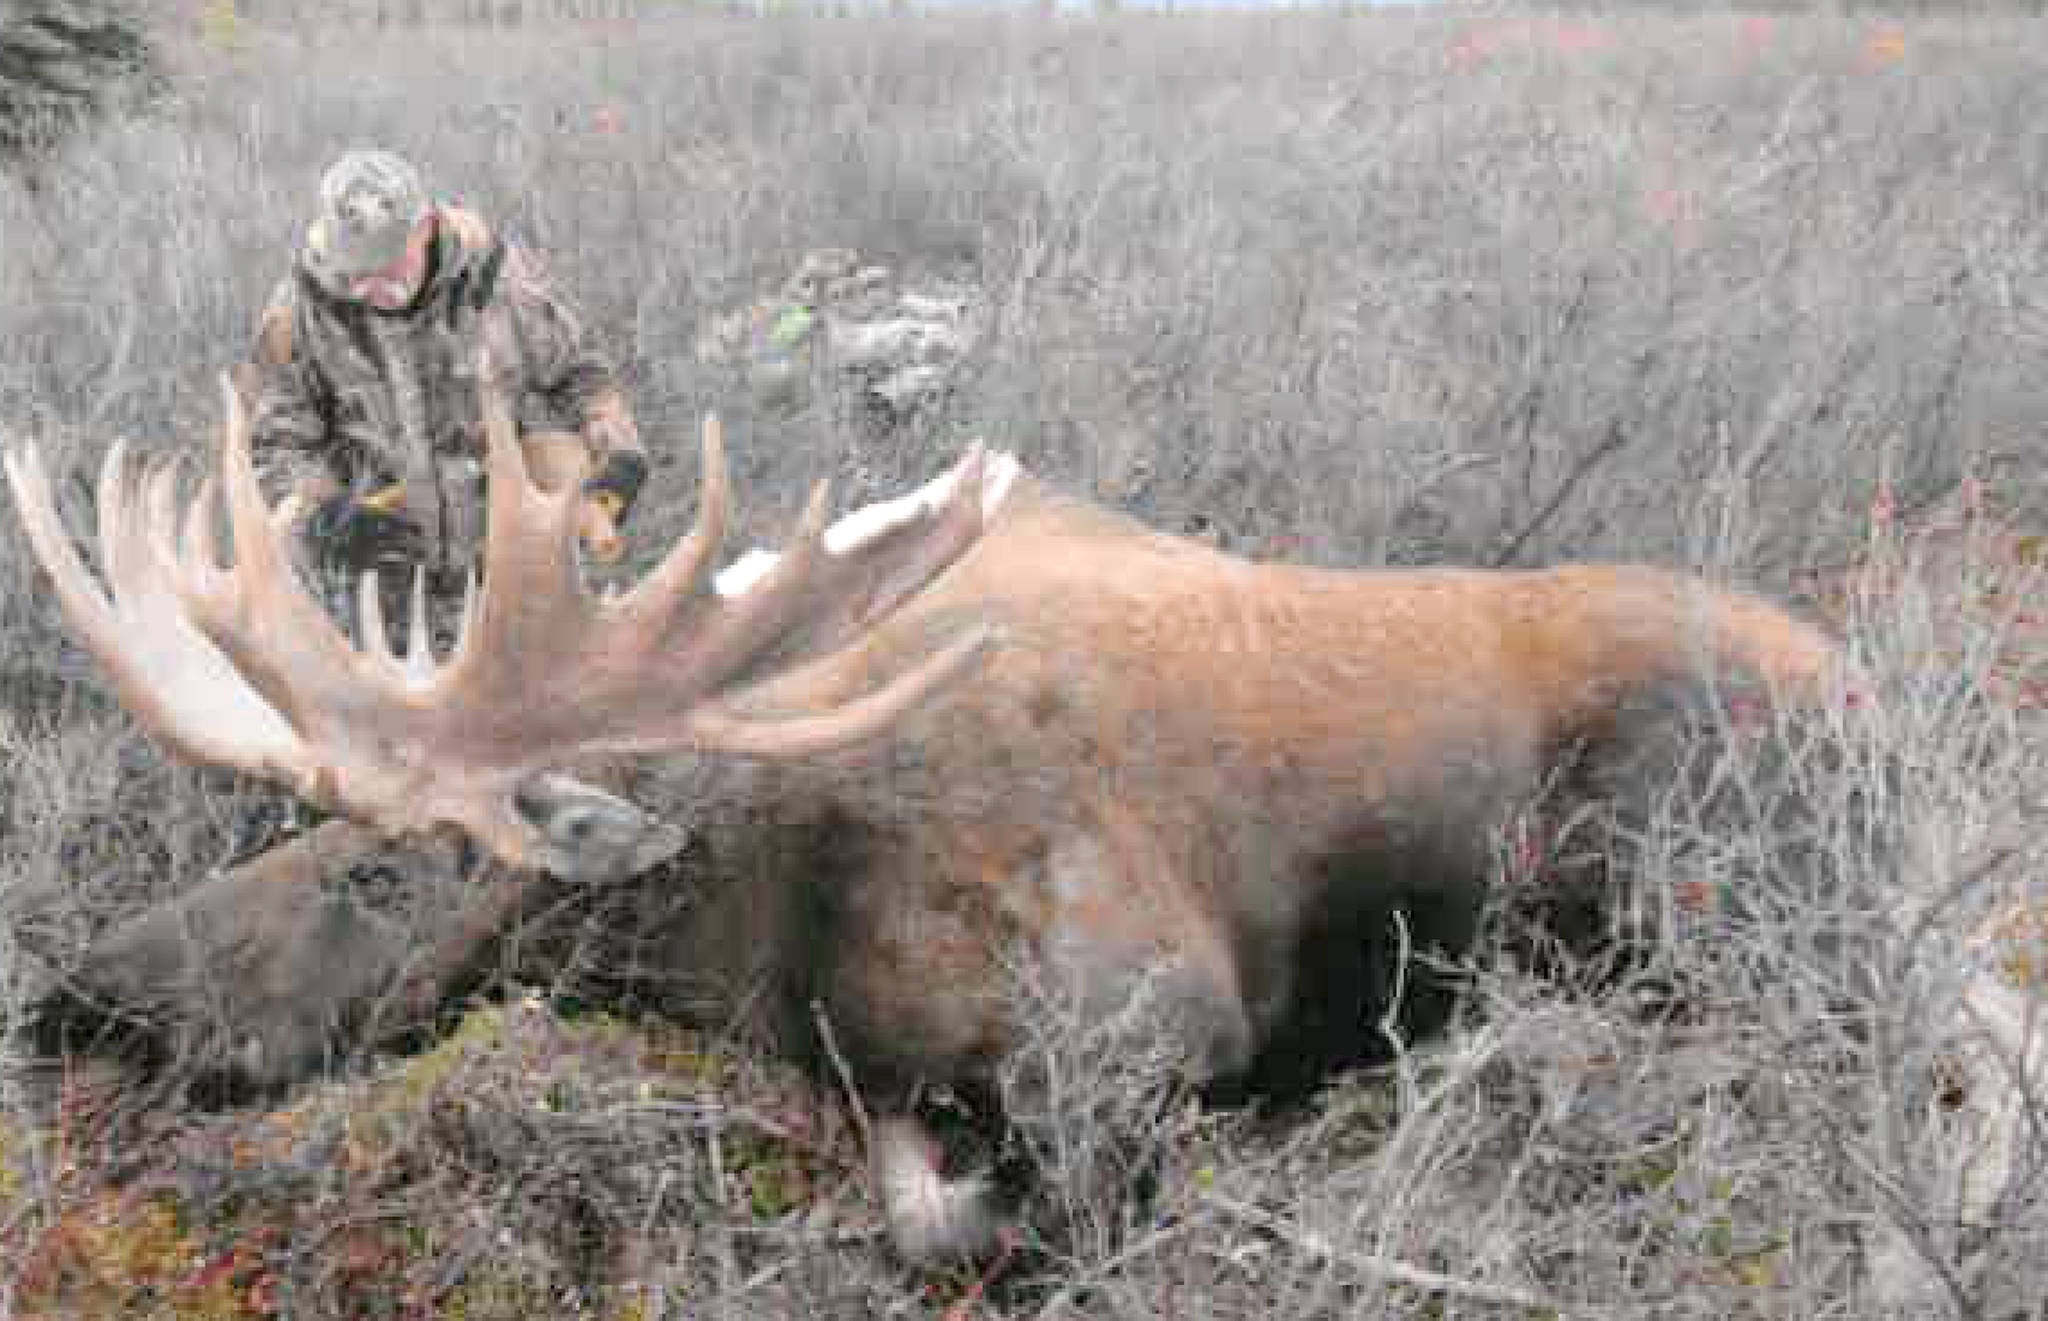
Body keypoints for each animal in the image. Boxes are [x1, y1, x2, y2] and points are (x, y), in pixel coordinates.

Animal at [4, 370, 1949, 1253]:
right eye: (289, 830)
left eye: (391, 865)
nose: (82, 993)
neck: (758, 909)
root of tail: (1884, 714)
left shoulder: (1140, 1023)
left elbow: (960, 1203)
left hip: (1706, 880)